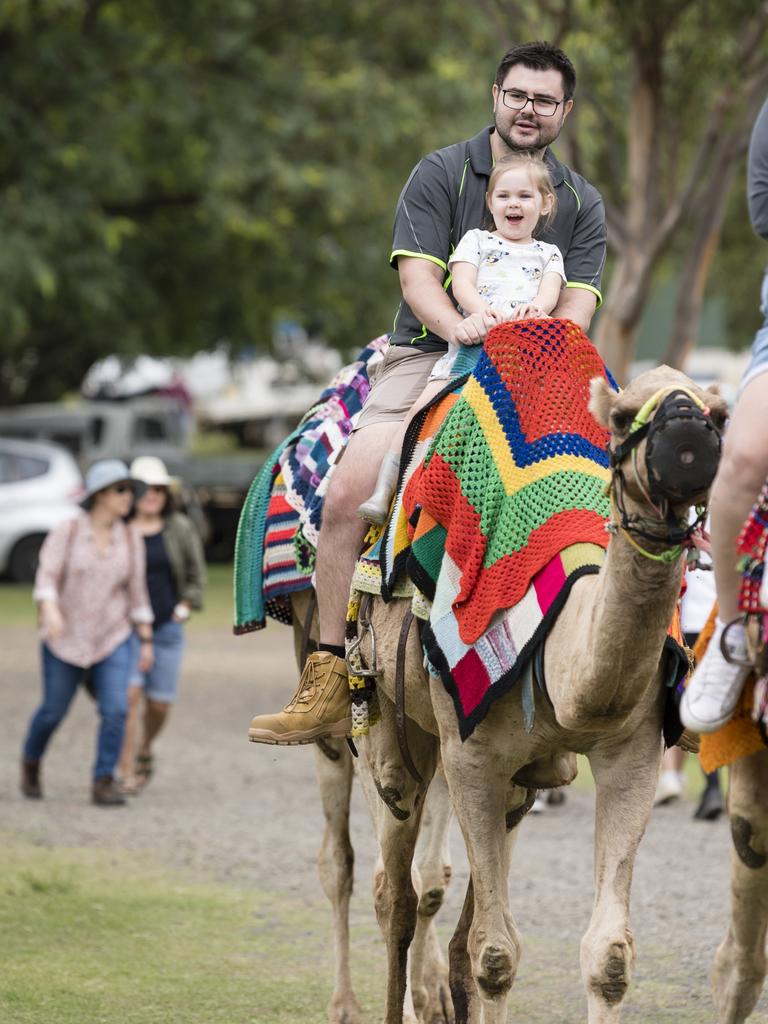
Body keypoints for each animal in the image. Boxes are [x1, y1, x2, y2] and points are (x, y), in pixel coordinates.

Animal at [352, 364, 729, 1019]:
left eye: (720, 416)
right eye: (622, 416)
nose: (688, 445)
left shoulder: (632, 753)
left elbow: (608, 956)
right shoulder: (471, 757)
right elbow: (495, 954)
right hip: (387, 721)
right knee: (395, 892)